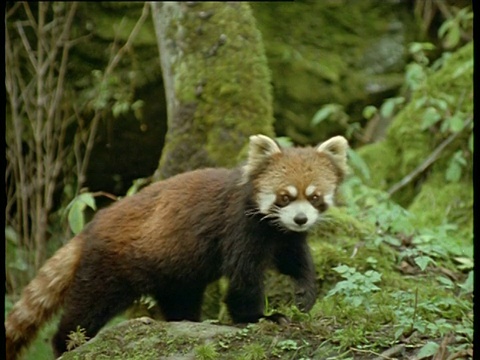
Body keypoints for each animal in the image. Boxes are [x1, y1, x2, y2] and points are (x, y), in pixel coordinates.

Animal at [4, 134, 348, 358]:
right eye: (284, 197)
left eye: (315, 197)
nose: (301, 219)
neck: (272, 226)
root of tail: (88, 229)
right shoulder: (239, 226)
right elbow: (244, 279)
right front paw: (258, 317)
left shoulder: (284, 235)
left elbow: (296, 261)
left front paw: (305, 294)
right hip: (107, 267)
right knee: (85, 310)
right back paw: (67, 345)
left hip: (173, 274)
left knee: (179, 300)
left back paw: (186, 321)